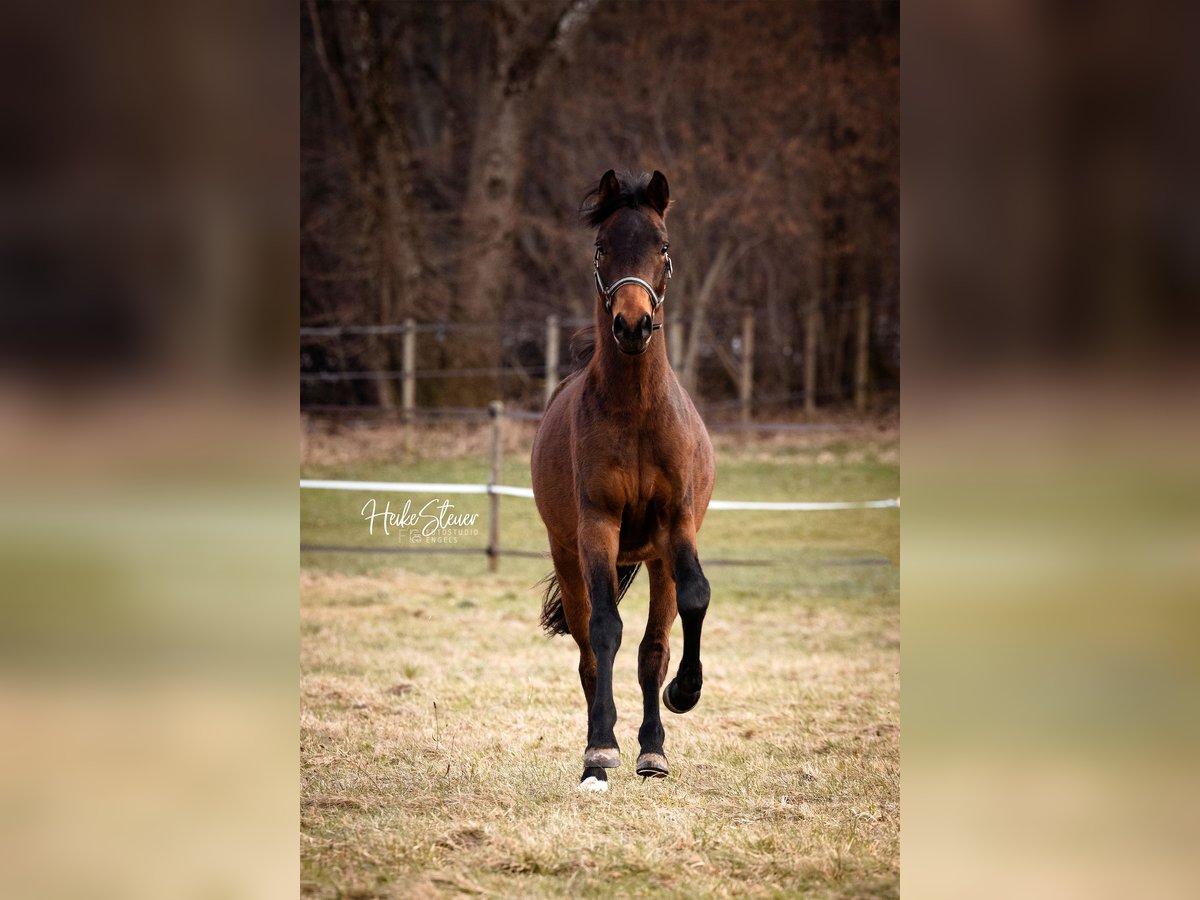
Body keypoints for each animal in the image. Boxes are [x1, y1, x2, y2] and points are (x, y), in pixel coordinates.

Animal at [532, 170, 715, 796]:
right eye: (601, 248)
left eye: (662, 246)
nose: (632, 325)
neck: (636, 412)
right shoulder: (597, 528)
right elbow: (605, 629)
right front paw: (601, 749)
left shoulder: (676, 526)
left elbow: (694, 599)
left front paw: (684, 693)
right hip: (568, 554)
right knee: (590, 648)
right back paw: (598, 753)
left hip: (655, 558)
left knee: (652, 647)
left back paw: (653, 750)